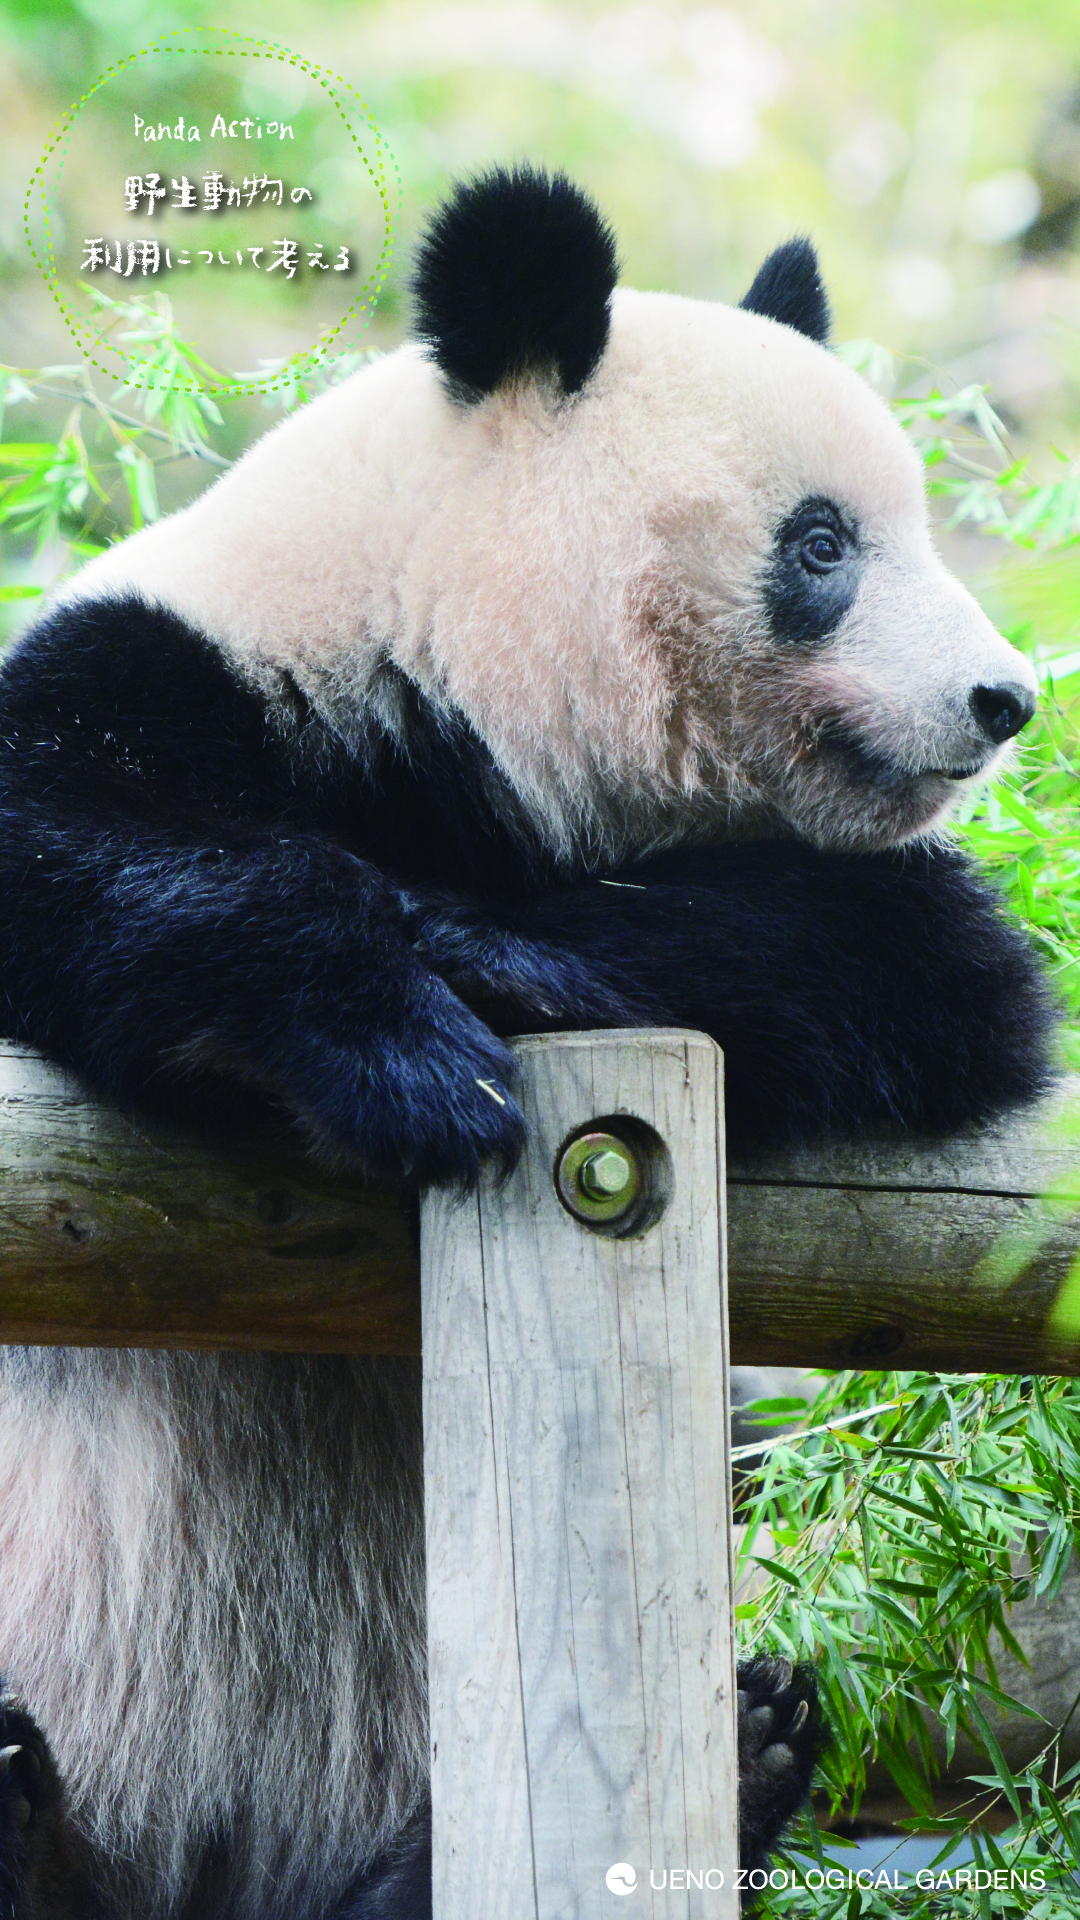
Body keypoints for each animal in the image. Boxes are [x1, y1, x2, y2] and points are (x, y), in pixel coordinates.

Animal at [0, 168, 1053, 1920]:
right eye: (822, 542)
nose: (1004, 700)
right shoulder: (171, 671)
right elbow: (93, 840)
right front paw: (404, 1045)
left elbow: (936, 972)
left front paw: (477, 945)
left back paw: (738, 1754)